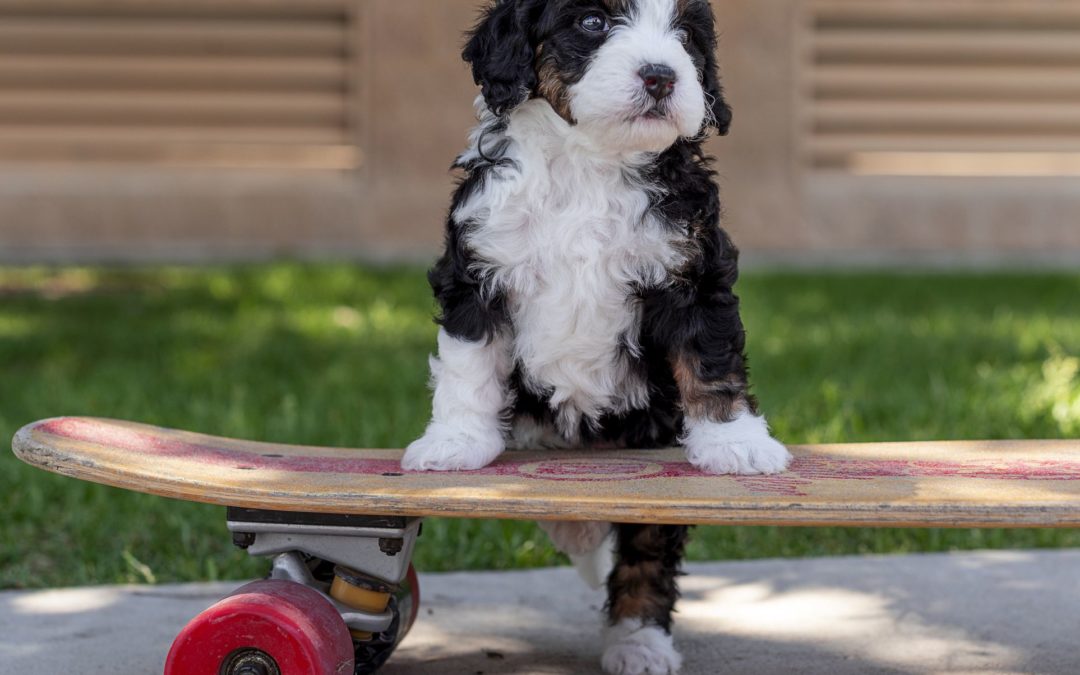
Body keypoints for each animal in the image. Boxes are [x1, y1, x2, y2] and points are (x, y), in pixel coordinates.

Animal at [401, 2, 790, 669]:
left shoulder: (695, 271)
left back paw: (637, 640)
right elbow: (467, 367)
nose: (661, 76)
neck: (589, 161)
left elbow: (710, 362)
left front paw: (735, 443)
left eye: (686, 34)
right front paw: (454, 442)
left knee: (646, 550)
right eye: (591, 23)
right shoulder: (478, 270)